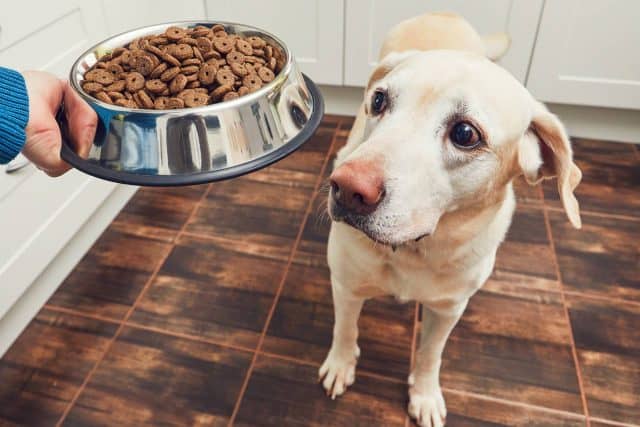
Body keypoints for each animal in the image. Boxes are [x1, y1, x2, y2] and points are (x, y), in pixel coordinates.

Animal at [318, 11, 580, 426]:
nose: (345, 188)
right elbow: (345, 330)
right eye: (379, 101)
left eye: (465, 133)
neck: (414, 250)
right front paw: (341, 365)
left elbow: (430, 355)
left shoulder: (449, 309)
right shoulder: (346, 285)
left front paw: (424, 395)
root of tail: (442, 13)